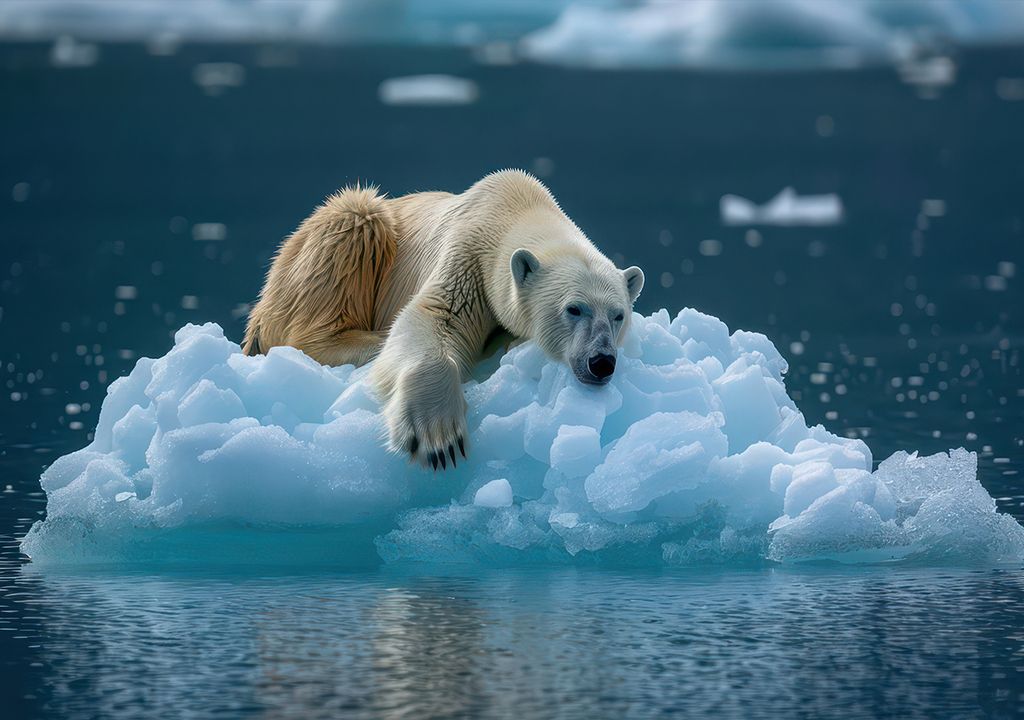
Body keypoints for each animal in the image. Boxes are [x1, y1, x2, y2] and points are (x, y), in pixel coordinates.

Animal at [244, 170, 645, 469]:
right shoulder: (466, 258)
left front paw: (505, 340)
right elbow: (432, 317)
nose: (601, 361)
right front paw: (437, 437)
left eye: (618, 315)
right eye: (574, 309)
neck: (516, 208)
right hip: (334, 241)